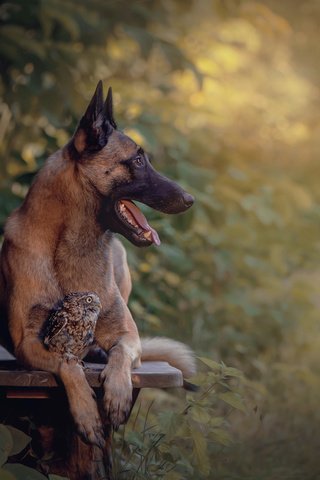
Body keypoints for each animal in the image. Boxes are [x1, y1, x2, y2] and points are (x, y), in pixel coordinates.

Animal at [0, 81, 195, 446]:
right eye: (138, 160)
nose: (190, 200)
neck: (71, 245)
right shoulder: (28, 344)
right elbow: (66, 363)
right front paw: (87, 413)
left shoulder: (127, 335)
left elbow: (120, 354)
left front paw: (117, 393)